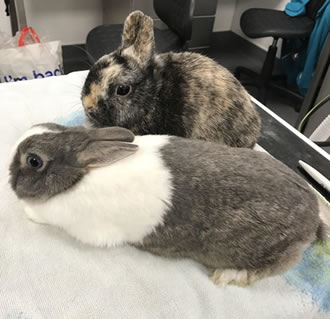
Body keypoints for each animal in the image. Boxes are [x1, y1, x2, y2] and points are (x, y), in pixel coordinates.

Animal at [9, 124, 326, 288]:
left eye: (33, 161)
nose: (9, 176)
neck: (77, 177)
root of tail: (313, 217)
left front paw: (28, 212)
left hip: (268, 252)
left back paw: (228, 275)